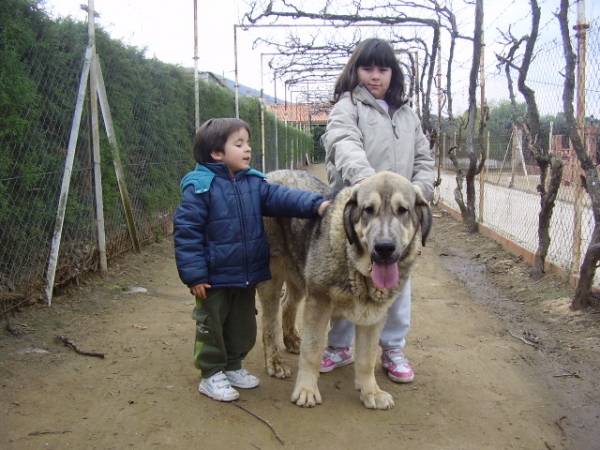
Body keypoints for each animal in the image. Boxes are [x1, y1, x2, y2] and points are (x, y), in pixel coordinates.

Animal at [258, 169, 432, 408]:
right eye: (368, 209)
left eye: (403, 210)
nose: (384, 248)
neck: (356, 268)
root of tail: (272, 173)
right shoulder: (318, 303)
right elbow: (312, 352)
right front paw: (306, 390)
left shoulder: (375, 316)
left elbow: (367, 358)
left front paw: (371, 392)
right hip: (273, 277)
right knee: (269, 323)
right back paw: (274, 362)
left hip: (299, 273)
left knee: (288, 305)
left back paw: (292, 340)